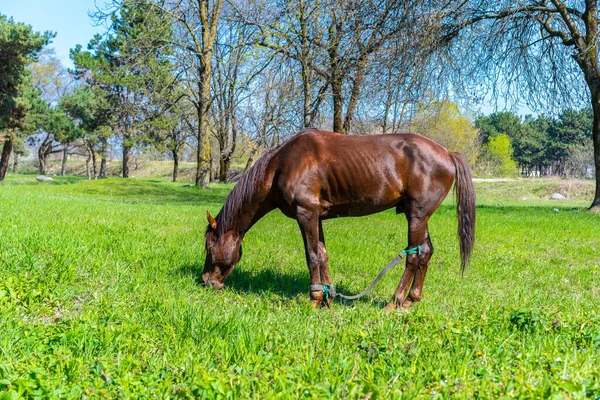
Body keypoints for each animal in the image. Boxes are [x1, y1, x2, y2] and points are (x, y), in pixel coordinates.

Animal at [204, 128, 476, 310]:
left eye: (209, 246)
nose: (207, 282)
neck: (281, 165)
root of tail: (447, 153)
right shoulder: (316, 216)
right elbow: (322, 254)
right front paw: (327, 296)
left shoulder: (306, 213)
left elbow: (312, 256)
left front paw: (314, 299)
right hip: (419, 216)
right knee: (426, 252)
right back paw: (410, 299)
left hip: (417, 216)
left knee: (413, 256)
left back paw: (395, 301)